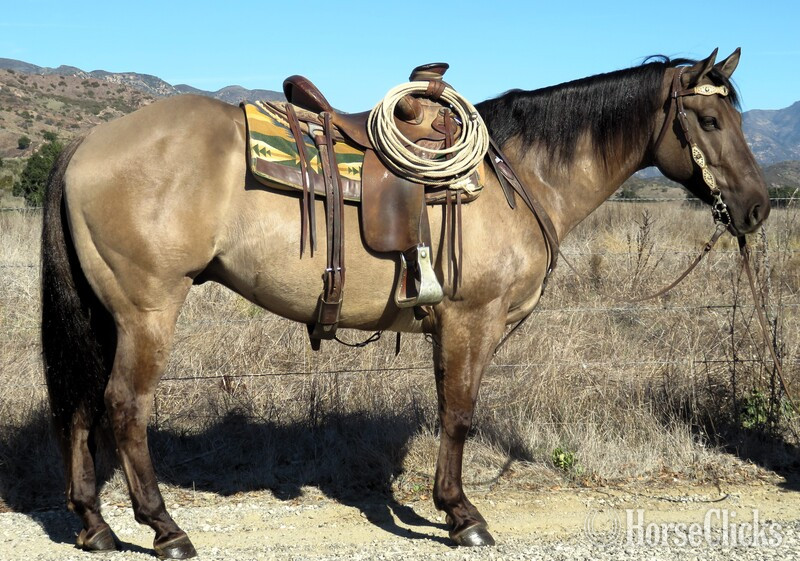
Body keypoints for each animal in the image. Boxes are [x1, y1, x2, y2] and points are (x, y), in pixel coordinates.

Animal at [41, 48, 768, 558]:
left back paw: (94, 525)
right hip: (147, 312)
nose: (758, 208)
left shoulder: (451, 326)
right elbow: (460, 415)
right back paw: (165, 529)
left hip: (105, 314)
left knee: (80, 403)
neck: (519, 178)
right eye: (708, 119)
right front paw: (463, 515)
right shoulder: (472, 321)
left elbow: (448, 410)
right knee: (124, 406)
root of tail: (88, 142)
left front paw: (451, 507)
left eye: (735, 117)